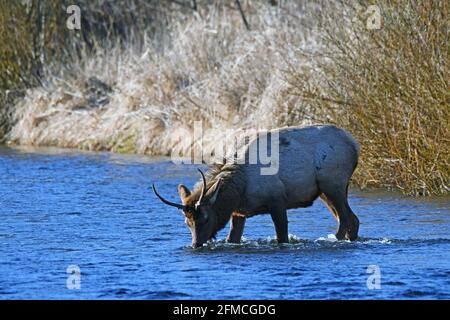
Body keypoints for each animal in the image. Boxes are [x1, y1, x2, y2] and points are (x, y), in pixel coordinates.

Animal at [153, 125, 360, 248]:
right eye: (187, 222)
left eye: (205, 218)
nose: (195, 244)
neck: (240, 187)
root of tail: (355, 145)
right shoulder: (239, 213)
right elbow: (232, 239)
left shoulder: (278, 201)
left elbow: (282, 237)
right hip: (325, 191)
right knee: (353, 220)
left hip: (333, 184)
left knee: (345, 220)